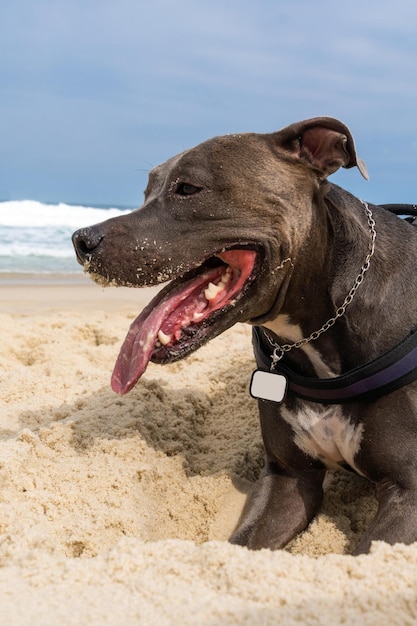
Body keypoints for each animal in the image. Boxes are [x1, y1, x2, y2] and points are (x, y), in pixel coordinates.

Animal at [71, 117, 416, 552]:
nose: (81, 239)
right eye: (147, 192)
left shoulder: (407, 493)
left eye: (188, 188)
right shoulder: (288, 478)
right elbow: (243, 545)